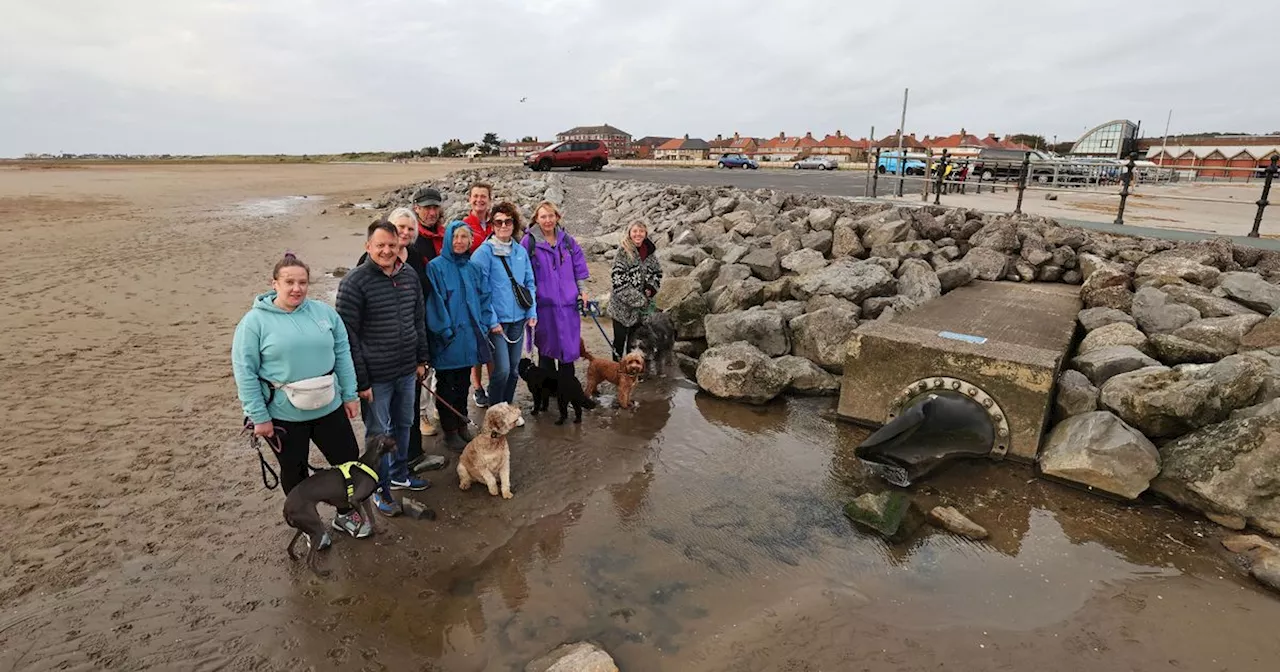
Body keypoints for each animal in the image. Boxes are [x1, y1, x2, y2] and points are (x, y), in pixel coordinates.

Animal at [284, 435, 394, 576]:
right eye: (391, 440)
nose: (397, 444)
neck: (368, 462)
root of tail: (286, 508)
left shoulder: (365, 500)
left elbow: (372, 518)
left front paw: (378, 531)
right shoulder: (355, 500)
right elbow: (363, 516)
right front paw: (357, 530)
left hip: (305, 524)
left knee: (290, 546)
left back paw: (294, 556)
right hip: (316, 527)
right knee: (309, 560)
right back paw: (321, 573)